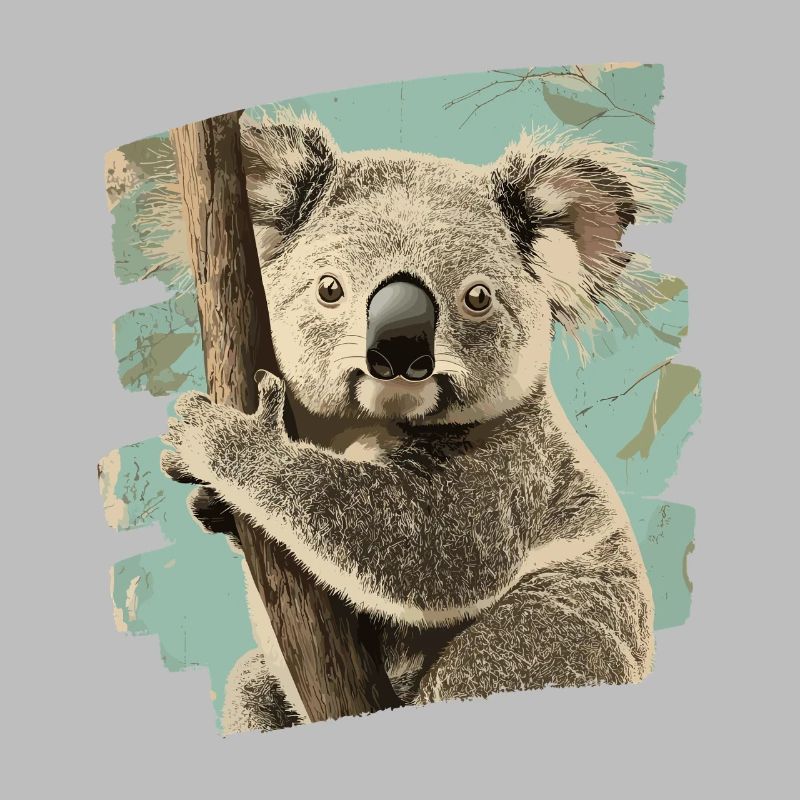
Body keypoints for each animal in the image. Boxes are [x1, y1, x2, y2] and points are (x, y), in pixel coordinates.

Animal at [160, 111, 681, 732]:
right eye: (330, 289)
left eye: (478, 297)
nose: (399, 350)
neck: (363, 427)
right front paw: (202, 493)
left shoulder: (513, 467)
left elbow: (426, 547)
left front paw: (229, 440)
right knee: (250, 683)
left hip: (551, 641)